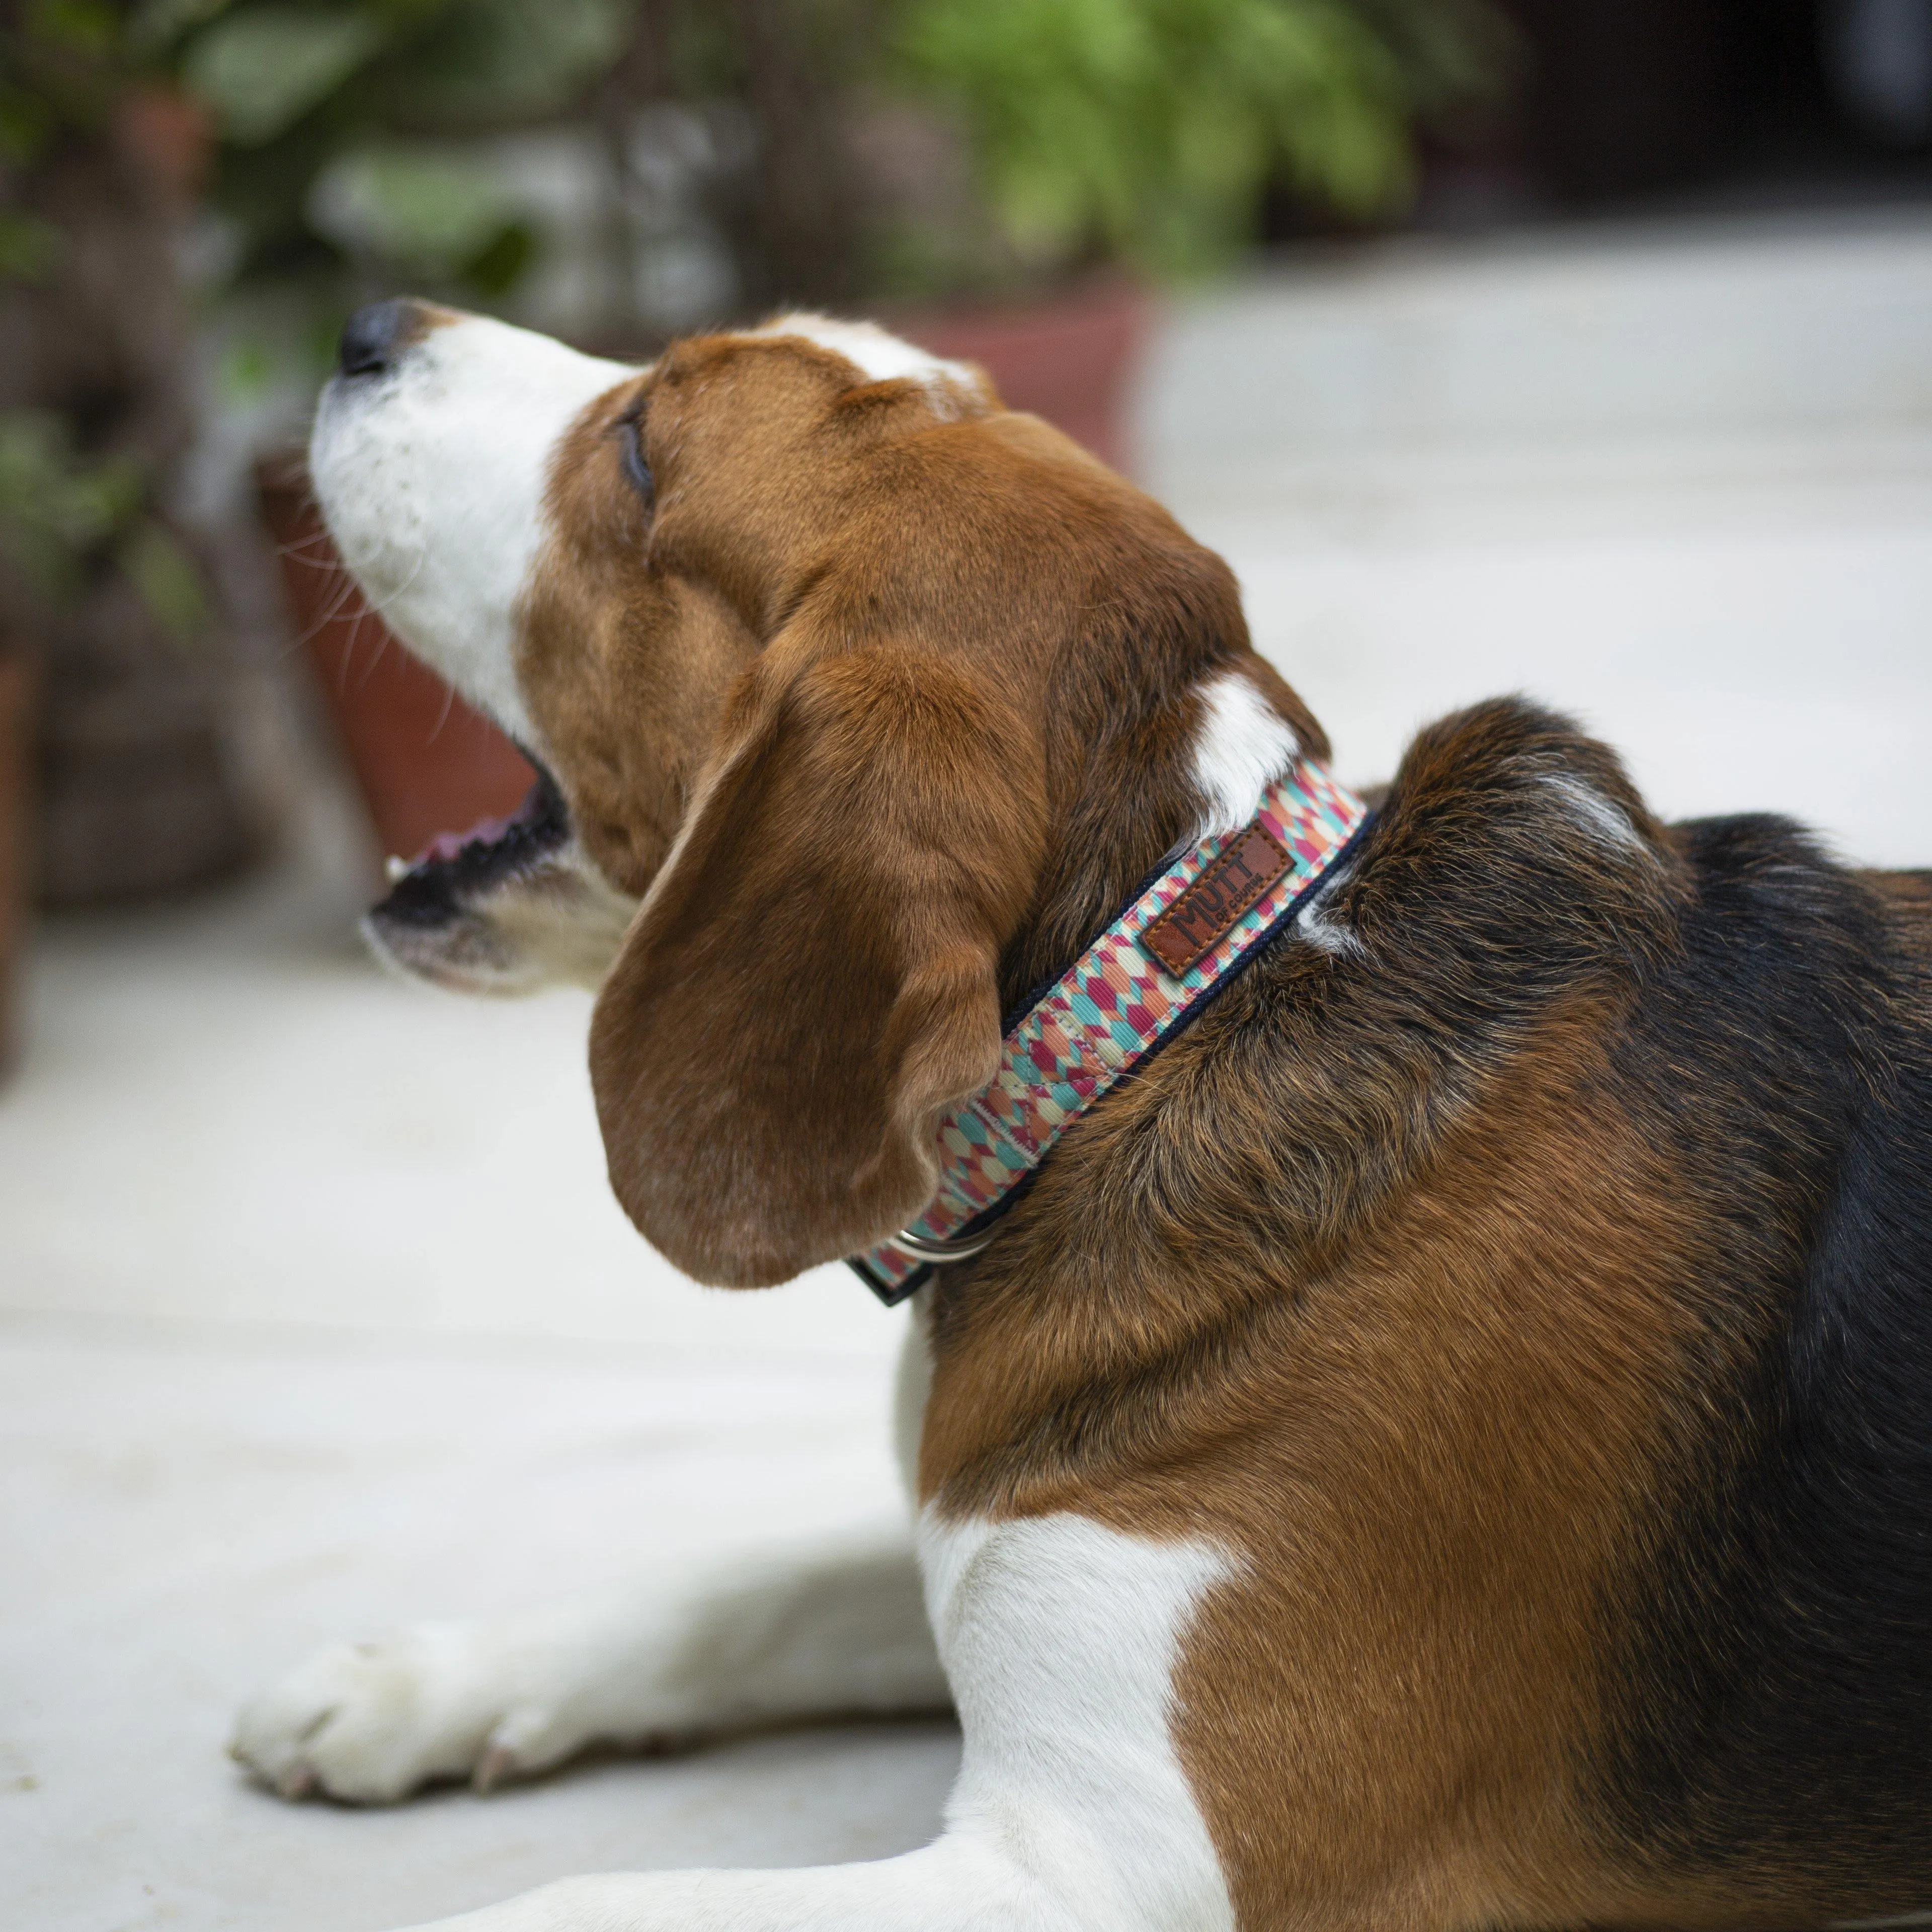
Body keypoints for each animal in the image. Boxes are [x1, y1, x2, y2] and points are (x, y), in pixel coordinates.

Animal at [233, 301, 1932, 1932]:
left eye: (643, 448)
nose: (366, 325)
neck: (1159, 1026)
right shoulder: (981, 1540)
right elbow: (745, 1584)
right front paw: (417, 1679)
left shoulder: (1100, 1867)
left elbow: (582, 1899)